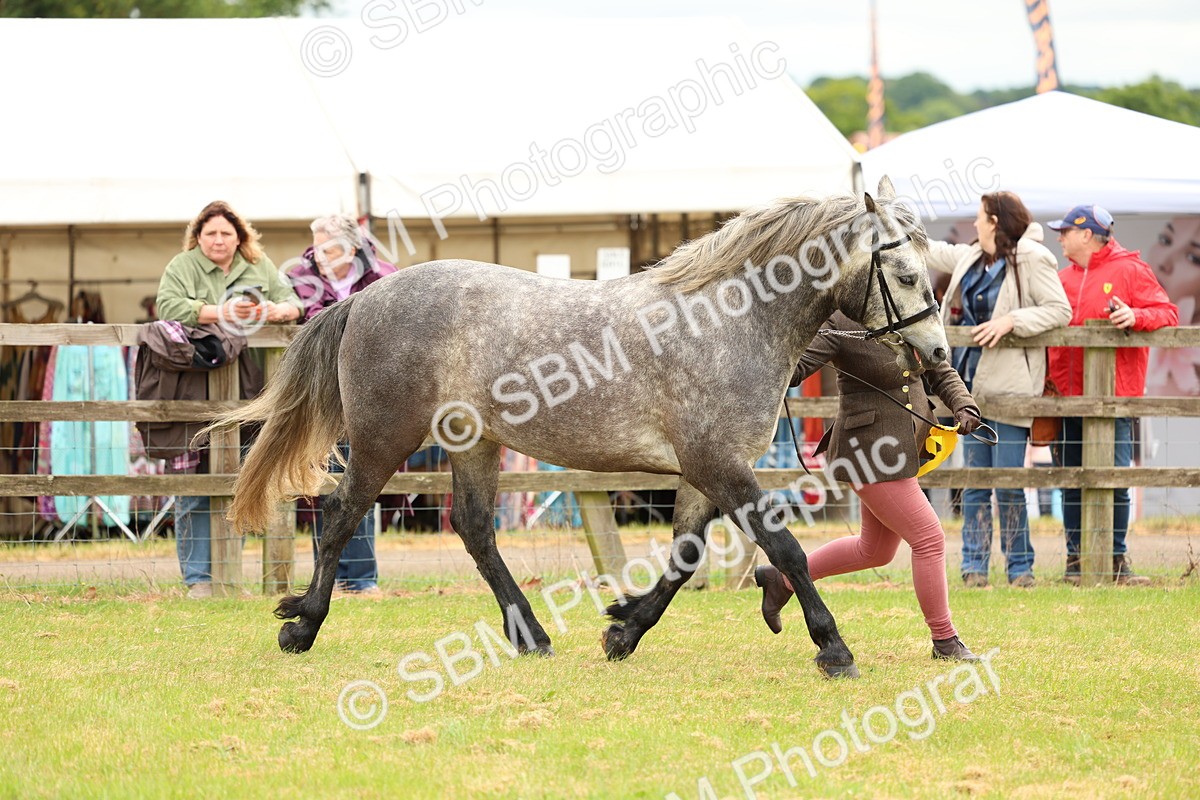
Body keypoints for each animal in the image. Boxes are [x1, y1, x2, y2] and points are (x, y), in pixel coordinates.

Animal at [210, 177, 948, 679]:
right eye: (905, 273)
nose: (938, 353)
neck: (726, 321)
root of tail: (364, 297)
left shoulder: (702, 474)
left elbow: (683, 559)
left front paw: (623, 629)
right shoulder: (719, 465)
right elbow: (787, 550)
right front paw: (834, 647)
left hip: (473, 442)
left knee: (474, 531)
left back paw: (531, 635)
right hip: (383, 439)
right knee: (339, 515)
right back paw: (302, 625)